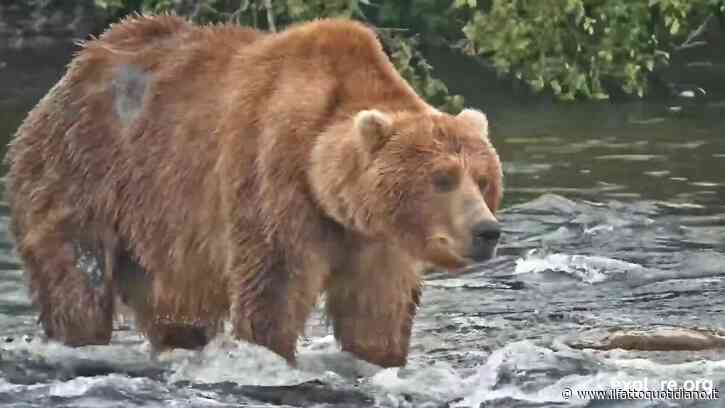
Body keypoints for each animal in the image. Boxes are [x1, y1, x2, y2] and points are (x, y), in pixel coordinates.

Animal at [4, 15, 503, 368]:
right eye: (442, 178)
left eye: (483, 180)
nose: (487, 231)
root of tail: (73, 68)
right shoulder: (272, 179)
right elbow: (273, 288)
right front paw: (272, 352)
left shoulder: (375, 240)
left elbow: (376, 307)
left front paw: (379, 356)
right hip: (79, 175)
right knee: (77, 277)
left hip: (161, 235)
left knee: (175, 306)